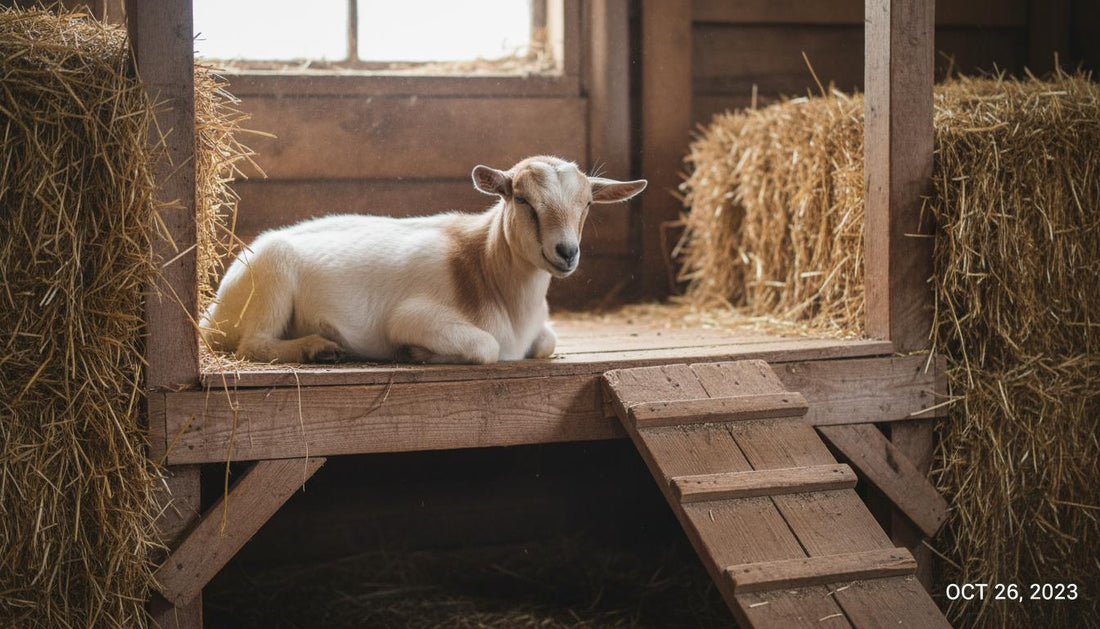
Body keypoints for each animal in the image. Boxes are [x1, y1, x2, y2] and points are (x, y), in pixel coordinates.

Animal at [200, 156, 647, 364]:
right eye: (522, 199)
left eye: (588, 204)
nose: (566, 252)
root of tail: (212, 312)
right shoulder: (415, 318)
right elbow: (485, 346)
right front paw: (414, 353)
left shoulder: (542, 332)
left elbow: (547, 342)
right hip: (271, 279)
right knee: (252, 343)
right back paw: (319, 348)